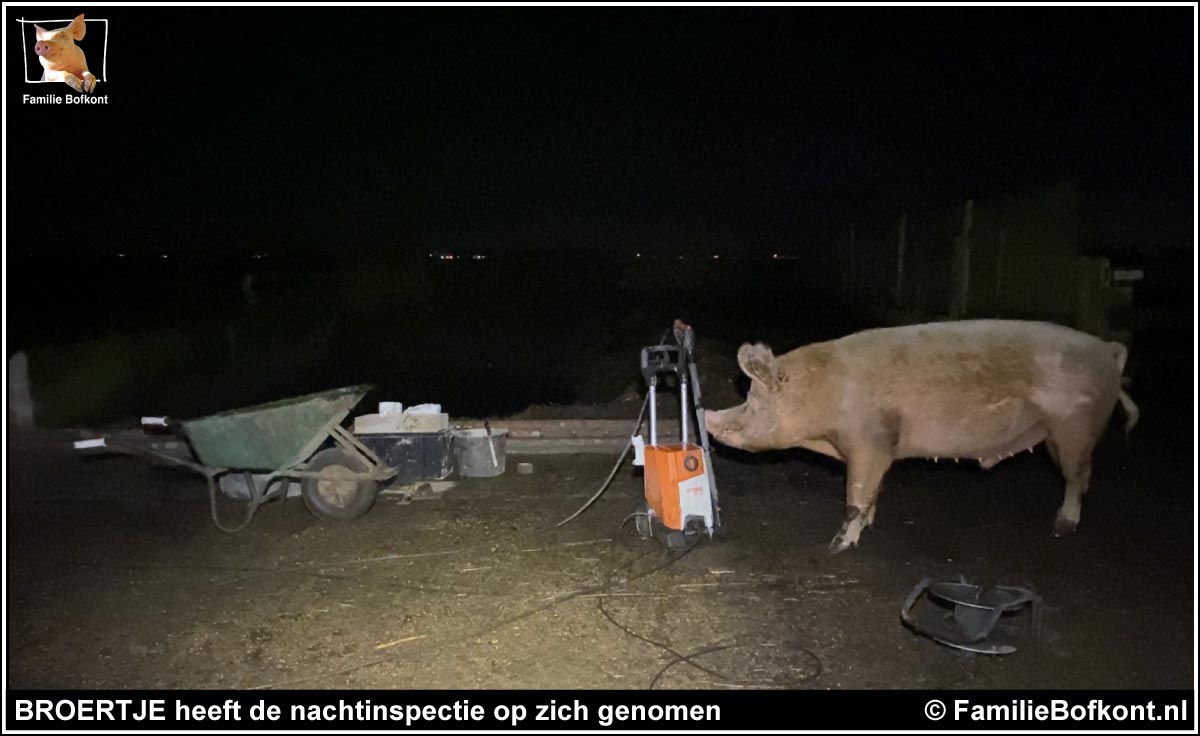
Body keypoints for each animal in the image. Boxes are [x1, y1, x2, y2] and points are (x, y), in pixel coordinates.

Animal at [705, 319, 1137, 554]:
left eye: (754, 400)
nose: (707, 416)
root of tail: (1109, 350)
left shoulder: (869, 442)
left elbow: (854, 498)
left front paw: (836, 546)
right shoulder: (881, 448)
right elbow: (873, 492)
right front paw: (870, 526)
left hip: (1074, 429)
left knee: (1079, 478)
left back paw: (1062, 526)